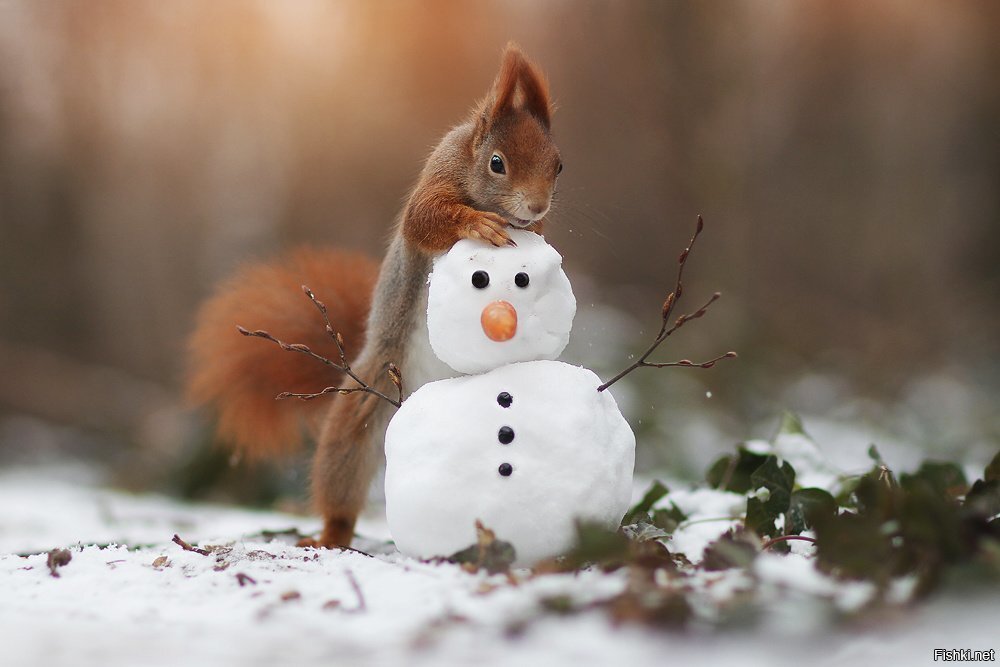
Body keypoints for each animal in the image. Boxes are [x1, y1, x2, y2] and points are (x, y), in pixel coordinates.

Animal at [188, 44, 564, 552]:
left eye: (559, 165)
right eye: (497, 163)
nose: (537, 206)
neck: (469, 164)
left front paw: (535, 232)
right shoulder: (435, 184)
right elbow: (425, 220)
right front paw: (477, 224)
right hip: (366, 403)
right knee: (343, 474)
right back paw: (330, 535)